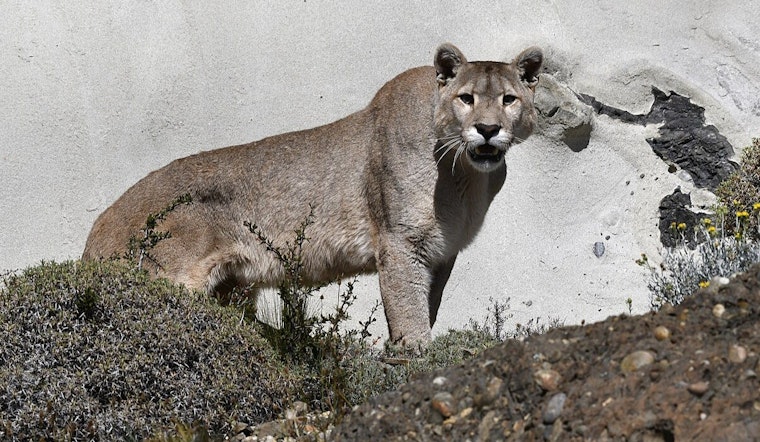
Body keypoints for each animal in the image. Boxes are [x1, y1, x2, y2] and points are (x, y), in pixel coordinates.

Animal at [82, 43, 543, 345]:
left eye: (509, 99)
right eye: (466, 98)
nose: (488, 129)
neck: (465, 176)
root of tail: (97, 229)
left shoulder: (443, 251)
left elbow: (427, 302)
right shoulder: (399, 243)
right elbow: (409, 309)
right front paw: (417, 356)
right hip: (172, 279)